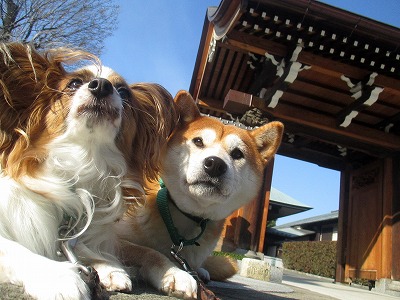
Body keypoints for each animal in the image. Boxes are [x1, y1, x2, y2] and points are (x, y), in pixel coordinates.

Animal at [0, 42, 175, 300]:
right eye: (73, 83)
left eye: (123, 92)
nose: (102, 85)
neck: (85, 159)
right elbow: (14, 249)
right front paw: (57, 276)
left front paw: (110, 268)